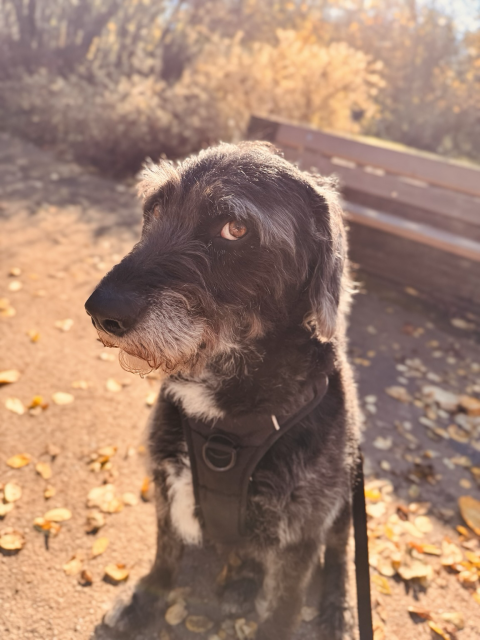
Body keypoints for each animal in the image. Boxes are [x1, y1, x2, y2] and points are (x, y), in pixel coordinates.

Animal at [85, 141, 360, 640]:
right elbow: (165, 553)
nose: (101, 311)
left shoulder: (302, 534)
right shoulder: (167, 484)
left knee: (338, 559)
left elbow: (286, 606)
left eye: (234, 229)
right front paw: (144, 601)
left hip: (346, 502)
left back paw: (338, 609)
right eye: (154, 210)